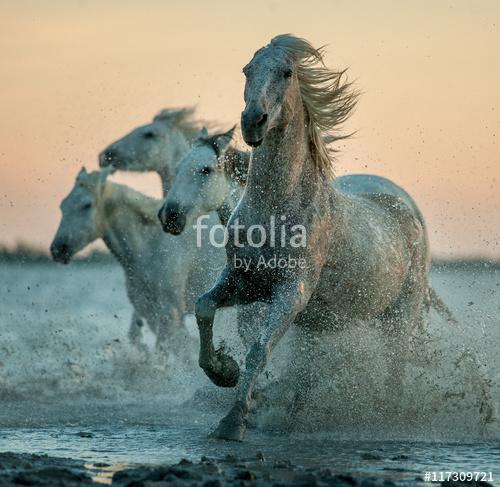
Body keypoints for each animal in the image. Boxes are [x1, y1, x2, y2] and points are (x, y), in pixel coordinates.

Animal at [51, 170, 223, 352]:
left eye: (87, 205)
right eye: (63, 205)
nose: (58, 249)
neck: (152, 245)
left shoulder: (170, 311)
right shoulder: (148, 310)